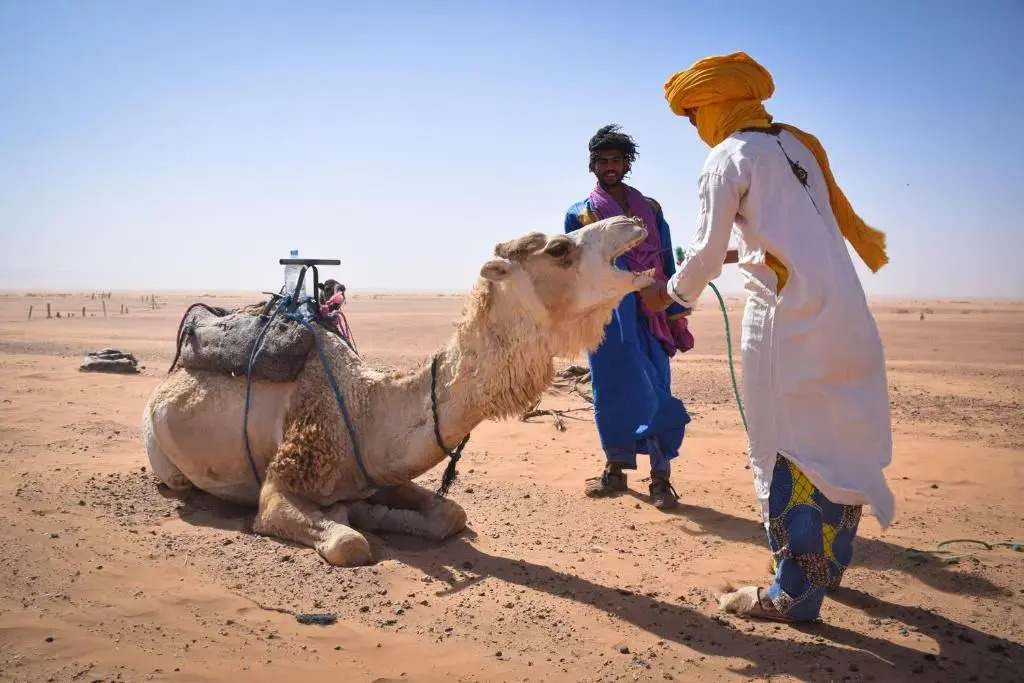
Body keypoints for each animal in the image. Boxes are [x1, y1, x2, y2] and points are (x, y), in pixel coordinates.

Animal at [142, 216, 655, 566]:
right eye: (559, 248)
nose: (630, 221)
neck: (365, 409)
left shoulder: (381, 469)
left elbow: (451, 514)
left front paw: (377, 514)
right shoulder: (278, 484)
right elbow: (348, 543)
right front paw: (355, 521)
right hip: (162, 456)